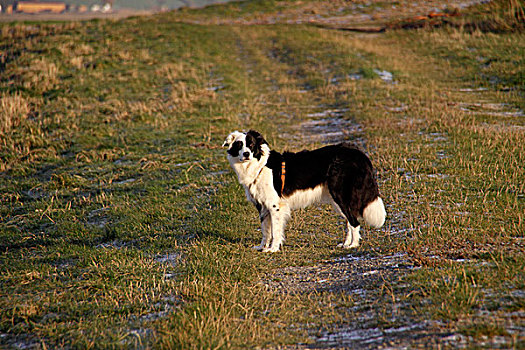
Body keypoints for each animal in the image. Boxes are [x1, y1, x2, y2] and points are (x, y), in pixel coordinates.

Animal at [221, 130, 384, 253]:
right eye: (239, 145)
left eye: (251, 145)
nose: (246, 154)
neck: (259, 165)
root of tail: (358, 154)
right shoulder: (262, 206)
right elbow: (265, 230)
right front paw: (262, 247)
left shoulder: (275, 206)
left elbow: (275, 231)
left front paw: (273, 249)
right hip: (338, 200)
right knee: (350, 221)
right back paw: (346, 244)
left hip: (340, 196)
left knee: (354, 222)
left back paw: (353, 245)